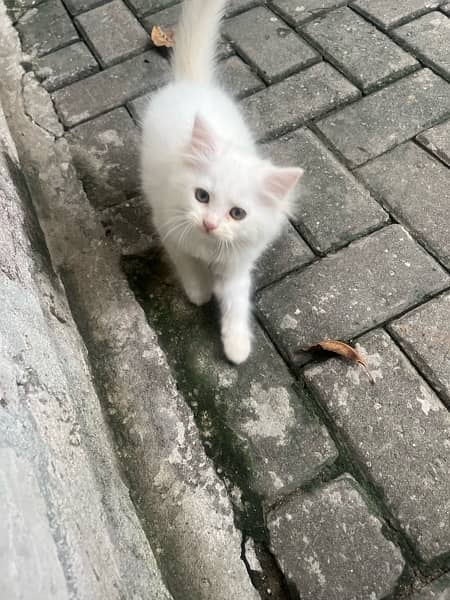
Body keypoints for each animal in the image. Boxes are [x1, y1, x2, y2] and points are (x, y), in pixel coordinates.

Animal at [141, 0, 302, 364]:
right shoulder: (171, 232)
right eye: (201, 196)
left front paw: (237, 346)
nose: (210, 224)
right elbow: (189, 268)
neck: (209, 247)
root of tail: (193, 84)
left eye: (237, 214)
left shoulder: (238, 265)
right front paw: (199, 292)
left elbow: (236, 304)